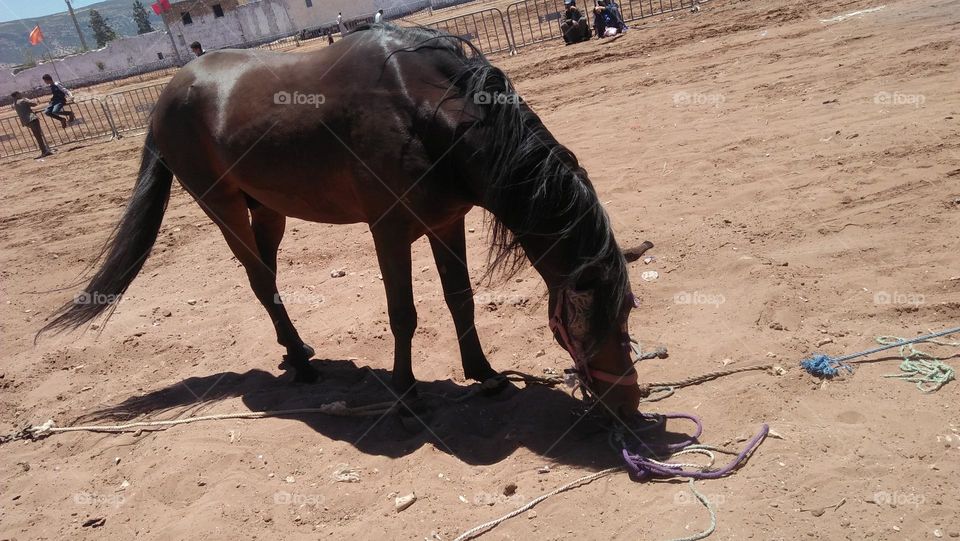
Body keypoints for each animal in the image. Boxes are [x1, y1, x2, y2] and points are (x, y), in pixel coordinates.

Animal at [41, 23, 648, 416]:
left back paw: (297, 352)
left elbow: (460, 299)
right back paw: (302, 363)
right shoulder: (389, 229)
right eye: (587, 317)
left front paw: (485, 374)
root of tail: (168, 93)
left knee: (270, 276)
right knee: (259, 281)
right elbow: (403, 313)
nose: (627, 402)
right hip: (225, 209)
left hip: (268, 210)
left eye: (627, 310)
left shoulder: (446, 221)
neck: (423, 107)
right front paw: (405, 393)